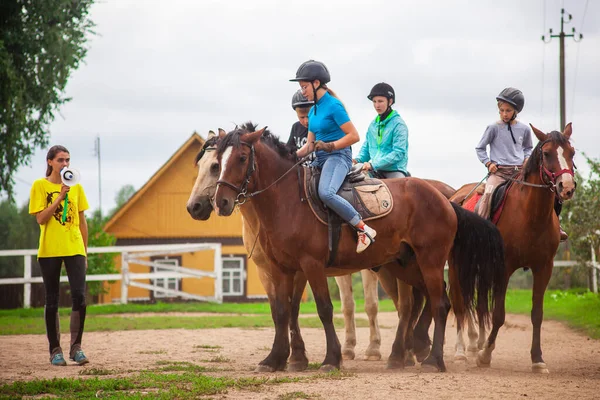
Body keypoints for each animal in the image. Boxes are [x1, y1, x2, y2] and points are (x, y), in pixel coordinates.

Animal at [213, 124, 504, 372]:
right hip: (405, 264)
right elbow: (283, 312)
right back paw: (414, 348)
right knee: (425, 300)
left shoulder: (311, 265)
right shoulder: (283, 269)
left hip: (430, 261)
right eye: (217, 162)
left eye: (241, 158)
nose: (221, 202)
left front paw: (332, 359)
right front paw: (275, 359)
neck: (290, 199)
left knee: (440, 303)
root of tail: (447, 201)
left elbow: (324, 309)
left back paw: (433, 360)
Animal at [450, 123, 576, 374]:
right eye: (547, 153)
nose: (566, 187)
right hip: (459, 267)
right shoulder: (505, 267)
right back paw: (462, 352)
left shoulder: (543, 268)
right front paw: (485, 355)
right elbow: (498, 314)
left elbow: (537, 314)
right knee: (459, 303)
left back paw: (477, 344)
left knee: (478, 305)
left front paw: (537, 359)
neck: (530, 216)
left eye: (572, 152)